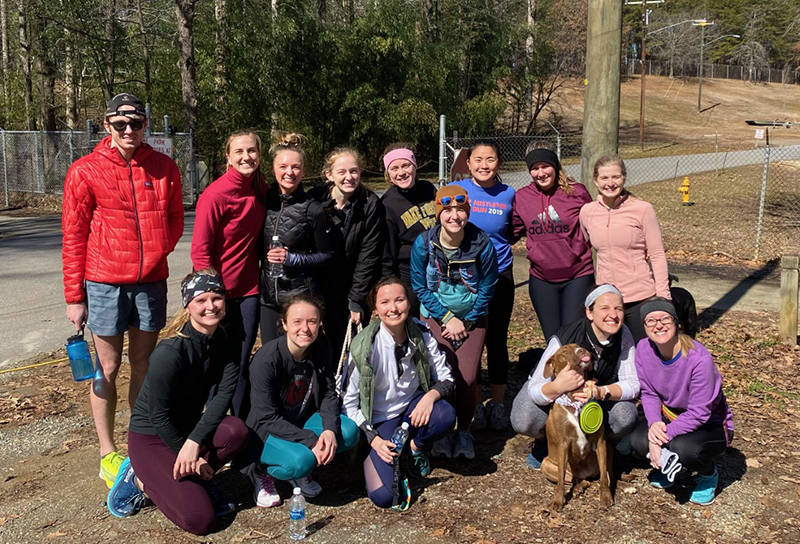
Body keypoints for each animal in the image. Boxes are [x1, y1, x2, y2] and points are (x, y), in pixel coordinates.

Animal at [544, 344, 612, 510]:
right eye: (564, 352)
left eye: (579, 346)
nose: (582, 350)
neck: (575, 395)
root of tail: (584, 473)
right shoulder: (563, 444)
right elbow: (561, 478)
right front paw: (558, 500)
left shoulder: (601, 441)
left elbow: (603, 477)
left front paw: (606, 497)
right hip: (546, 464)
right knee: (571, 479)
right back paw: (579, 486)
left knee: (604, 475)